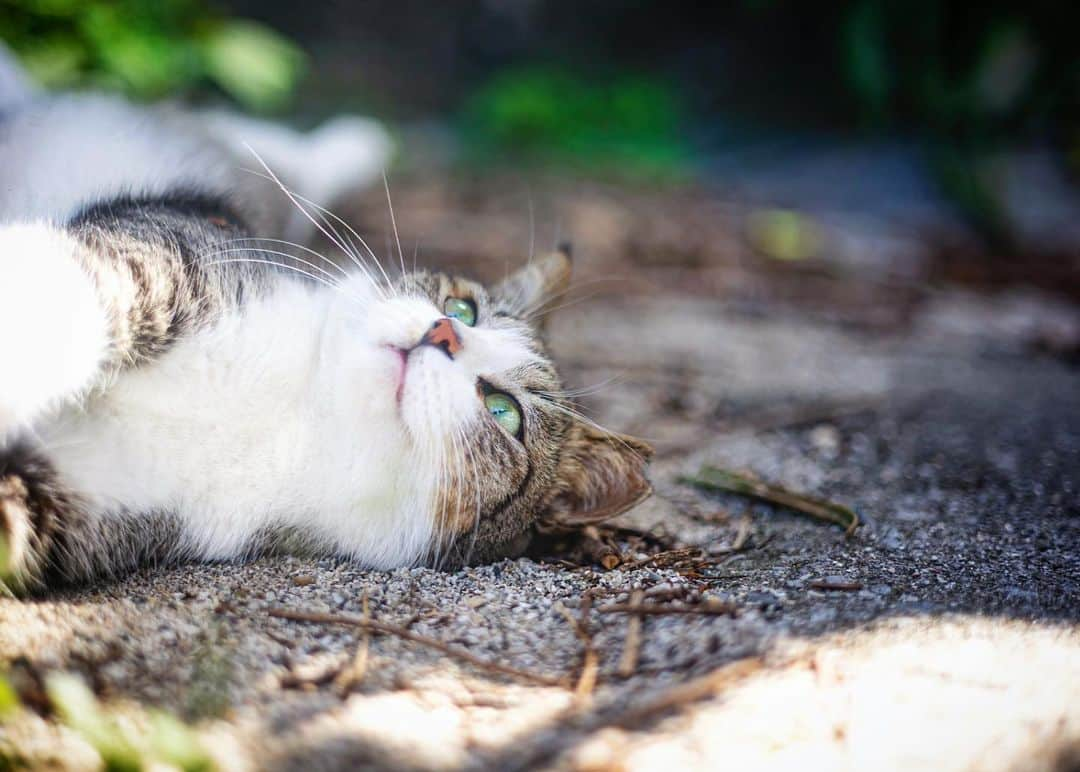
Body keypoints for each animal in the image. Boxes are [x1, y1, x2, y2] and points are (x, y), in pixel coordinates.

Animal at [0, 52, 648, 591]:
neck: (297, 408)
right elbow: (72, 299)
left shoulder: (92, 504)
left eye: (504, 413)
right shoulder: (171, 258)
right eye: (463, 308)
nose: (442, 333)